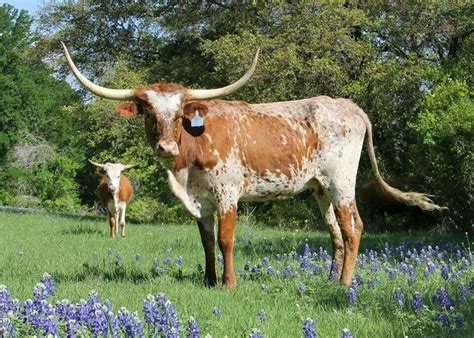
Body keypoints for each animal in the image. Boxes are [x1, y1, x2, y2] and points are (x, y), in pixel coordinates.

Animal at [63, 43, 444, 288]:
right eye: (147, 112)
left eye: (182, 112)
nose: (166, 146)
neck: (188, 164)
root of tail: (349, 106)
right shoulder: (200, 202)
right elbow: (206, 240)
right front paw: (208, 280)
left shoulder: (228, 193)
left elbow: (226, 240)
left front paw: (229, 284)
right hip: (320, 188)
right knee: (335, 232)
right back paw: (330, 278)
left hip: (341, 182)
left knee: (353, 228)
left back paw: (344, 286)